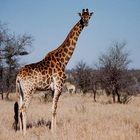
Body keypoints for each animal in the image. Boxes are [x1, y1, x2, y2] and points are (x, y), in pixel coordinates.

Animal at [14, 7, 93, 135]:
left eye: (89, 16)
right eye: (82, 16)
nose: (85, 23)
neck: (64, 60)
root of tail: (18, 77)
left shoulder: (52, 89)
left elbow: (53, 108)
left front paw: (53, 128)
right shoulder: (59, 87)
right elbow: (54, 109)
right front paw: (53, 131)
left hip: (21, 91)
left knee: (19, 108)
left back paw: (20, 131)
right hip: (29, 90)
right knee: (23, 108)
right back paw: (25, 133)